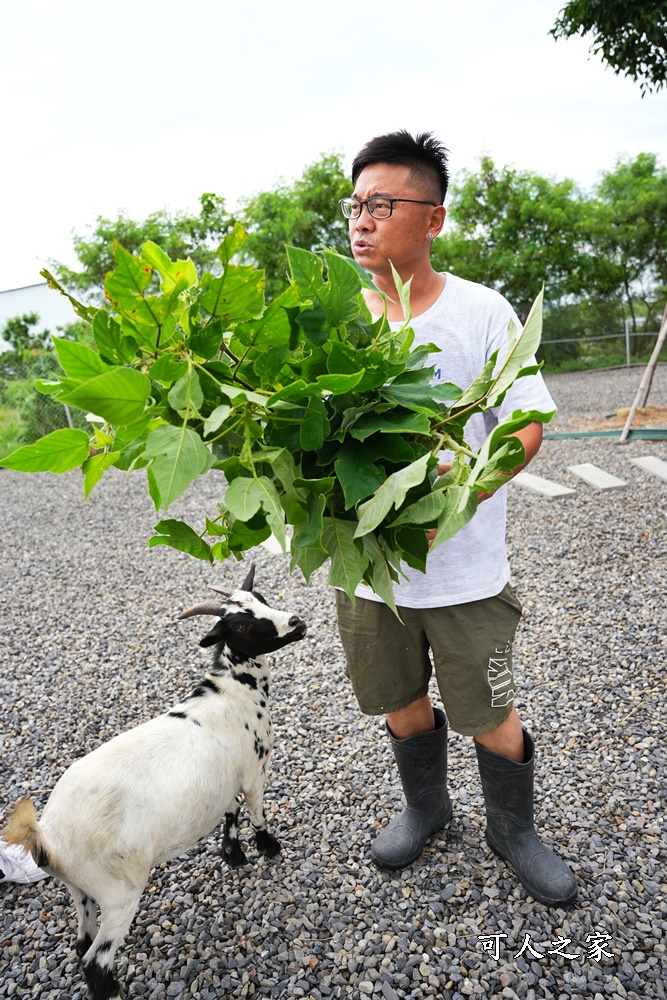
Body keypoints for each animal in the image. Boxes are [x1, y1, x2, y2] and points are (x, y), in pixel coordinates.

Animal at [4, 564, 308, 1000]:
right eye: (242, 624)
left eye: (262, 598)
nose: (297, 622)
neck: (233, 692)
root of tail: (46, 837)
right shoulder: (254, 769)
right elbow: (255, 811)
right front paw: (268, 847)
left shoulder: (227, 775)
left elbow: (230, 811)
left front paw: (232, 853)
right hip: (120, 893)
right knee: (95, 959)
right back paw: (114, 989)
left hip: (81, 890)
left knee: (82, 940)